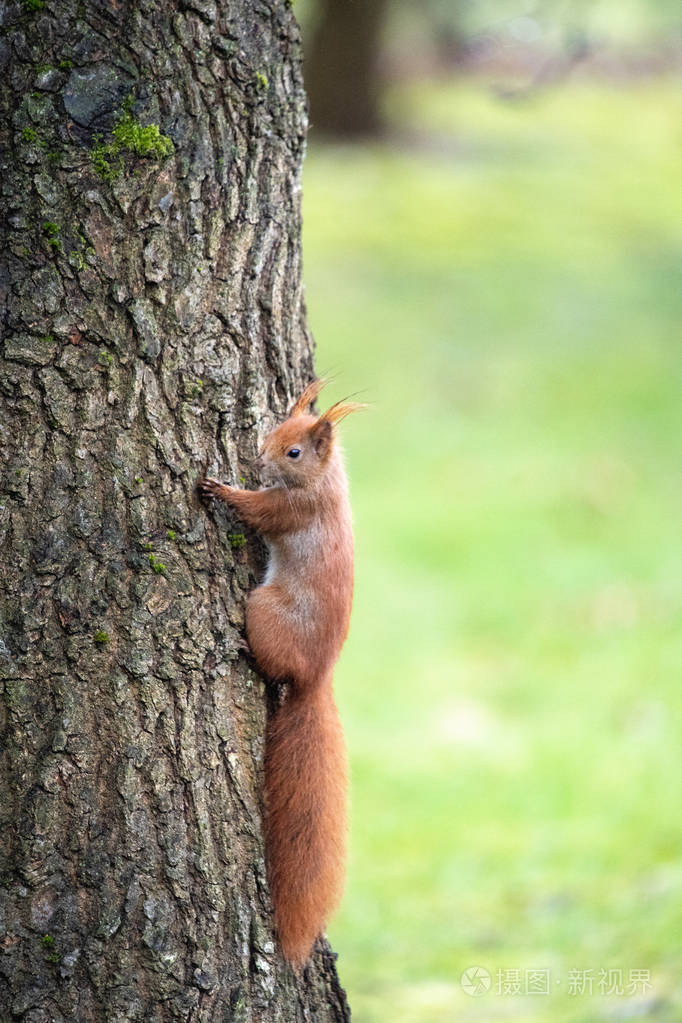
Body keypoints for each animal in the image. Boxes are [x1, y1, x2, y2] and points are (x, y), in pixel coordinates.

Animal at [200, 380, 366, 961]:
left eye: (294, 452)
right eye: (273, 431)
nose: (258, 458)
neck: (325, 483)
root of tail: (315, 678)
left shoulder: (292, 509)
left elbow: (259, 511)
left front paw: (222, 489)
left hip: (263, 608)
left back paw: (244, 651)